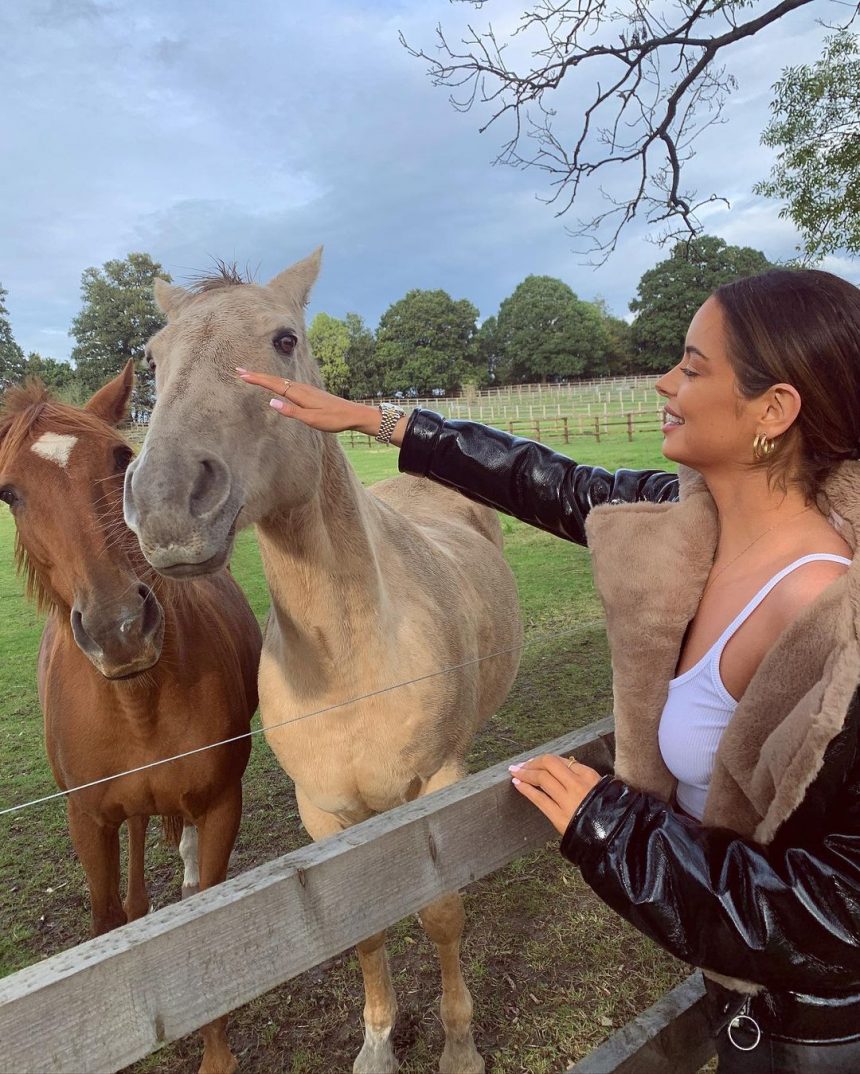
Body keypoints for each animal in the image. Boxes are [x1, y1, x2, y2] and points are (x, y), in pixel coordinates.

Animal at [0, 363, 262, 1074]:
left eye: (120, 459)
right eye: (8, 493)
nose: (119, 630)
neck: (136, 703)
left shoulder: (219, 803)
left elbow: (207, 913)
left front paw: (217, 1056)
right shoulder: (87, 821)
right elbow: (107, 920)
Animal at [122, 249, 523, 1074]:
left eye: (284, 340)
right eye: (151, 357)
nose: (168, 502)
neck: (351, 662)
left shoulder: (435, 785)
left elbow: (441, 911)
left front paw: (459, 1046)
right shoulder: (325, 810)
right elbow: (361, 927)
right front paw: (377, 1044)